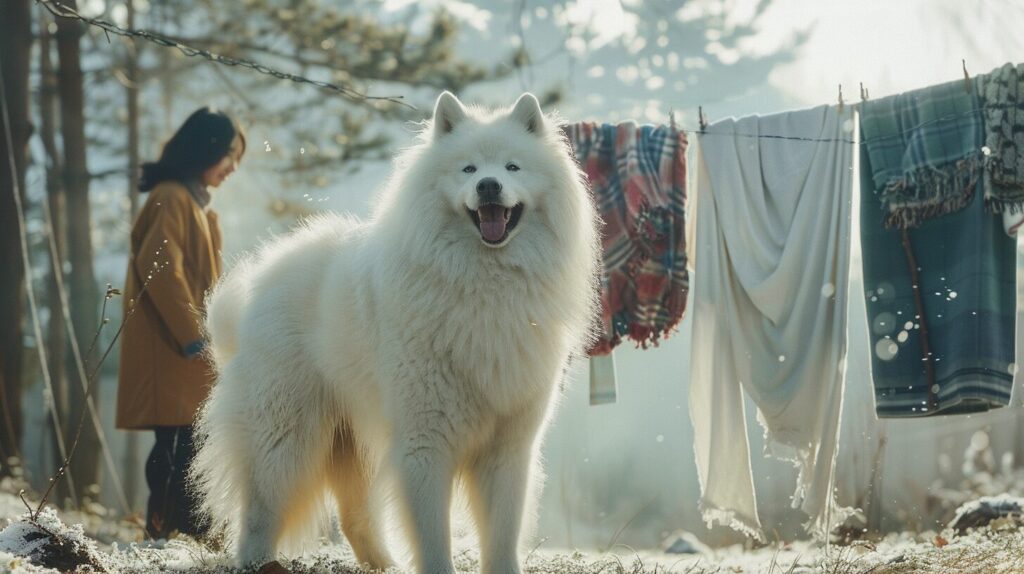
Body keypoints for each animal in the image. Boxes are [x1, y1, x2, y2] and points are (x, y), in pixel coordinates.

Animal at [192, 91, 598, 568]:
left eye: (512, 167)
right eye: (468, 169)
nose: (488, 186)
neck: (484, 285)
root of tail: (260, 279)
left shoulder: (508, 448)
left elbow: (501, 536)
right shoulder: (424, 443)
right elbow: (433, 538)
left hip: (354, 445)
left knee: (355, 519)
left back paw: (384, 565)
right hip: (287, 438)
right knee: (259, 512)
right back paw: (259, 561)